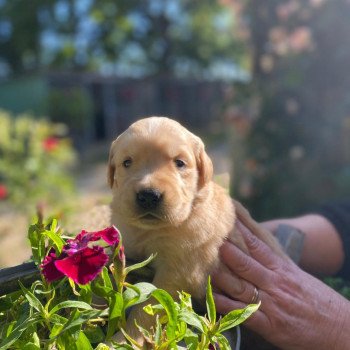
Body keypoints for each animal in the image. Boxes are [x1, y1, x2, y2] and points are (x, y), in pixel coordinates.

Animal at [106, 116, 282, 340]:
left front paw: (123, 339)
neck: (152, 229)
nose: (148, 196)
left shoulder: (179, 272)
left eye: (180, 163)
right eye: (127, 162)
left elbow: (148, 307)